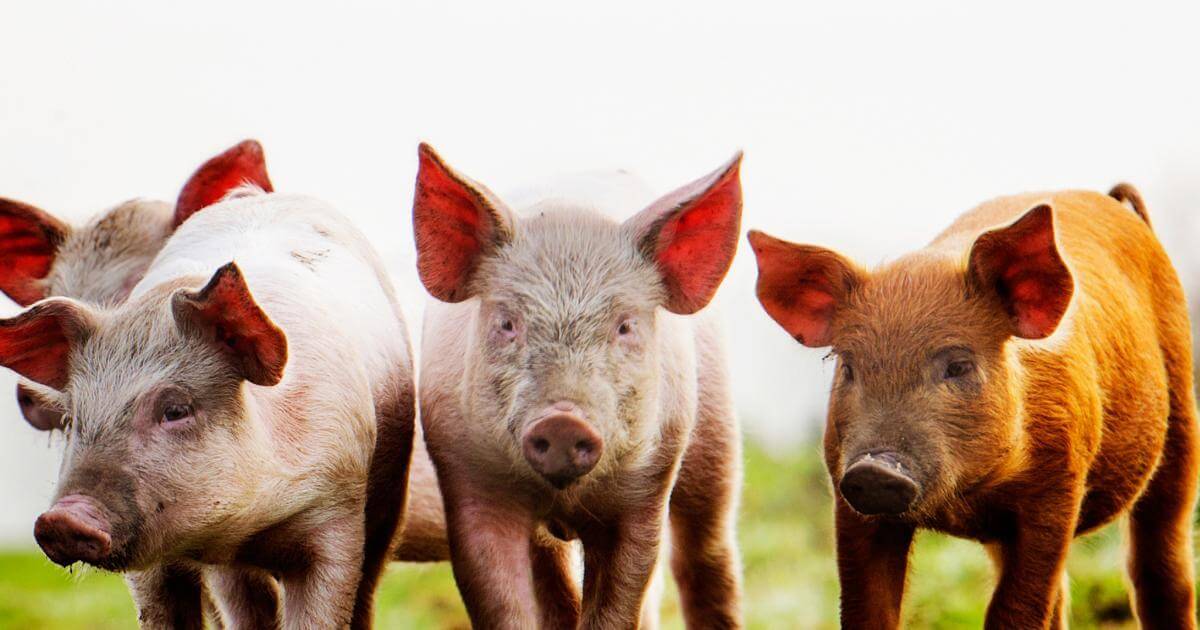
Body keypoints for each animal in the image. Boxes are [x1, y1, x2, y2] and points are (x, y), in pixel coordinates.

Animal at [412, 144, 744, 629]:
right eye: (507, 323)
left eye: (625, 326)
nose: (563, 421)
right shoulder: (469, 479)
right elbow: (502, 600)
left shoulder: (644, 490)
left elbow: (621, 599)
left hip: (714, 433)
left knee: (706, 559)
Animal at [749, 185, 1197, 629]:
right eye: (848, 367)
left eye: (958, 365)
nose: (875, 469)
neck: (966, 499)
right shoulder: (847, 491)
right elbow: (865, 608)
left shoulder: (1059, 488)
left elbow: (1015, 611)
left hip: (1180, 418)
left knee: (1161, 569)